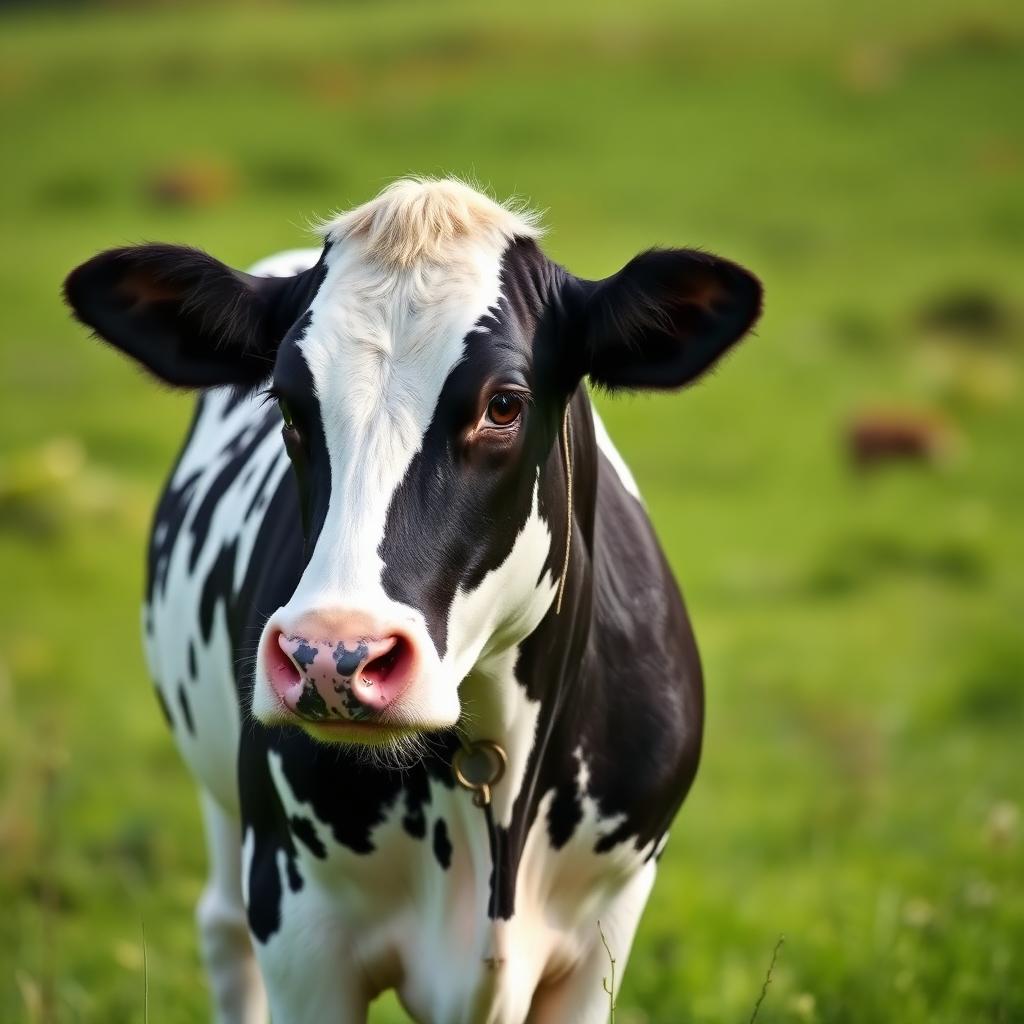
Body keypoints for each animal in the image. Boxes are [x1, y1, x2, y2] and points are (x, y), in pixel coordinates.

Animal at [64, 178, 762, 1023]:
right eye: (287, 405)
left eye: (504, 404)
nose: (332, 657)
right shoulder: (298, 924)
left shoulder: (607, 925)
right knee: (223, 931)